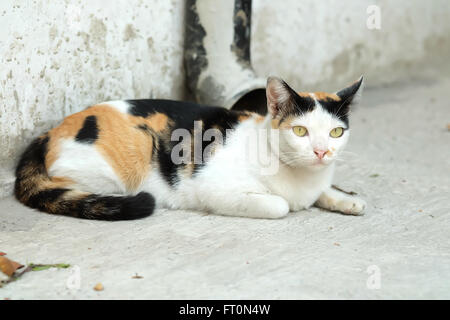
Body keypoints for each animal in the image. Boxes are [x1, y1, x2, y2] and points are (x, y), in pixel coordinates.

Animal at [14, 76, 366, 220]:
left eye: (335, 132)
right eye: (300, 131)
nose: (322, 152)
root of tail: (49, 132)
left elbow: (325, 191)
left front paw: (346, 199)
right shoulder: (213, 187)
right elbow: (280, 205)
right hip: (120, 165)